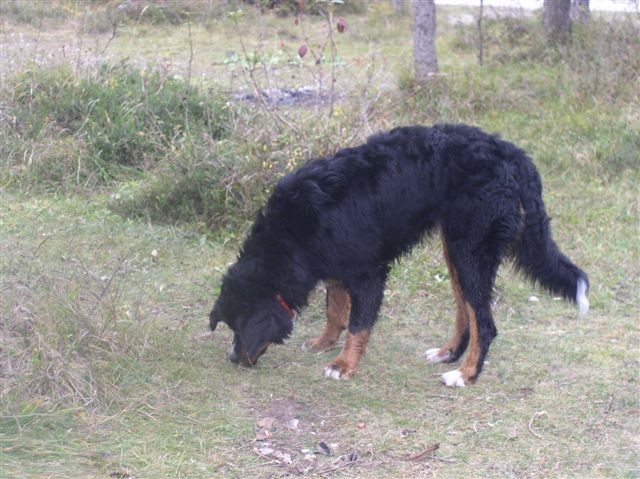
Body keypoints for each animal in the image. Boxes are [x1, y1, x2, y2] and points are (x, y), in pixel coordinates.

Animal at [208, 124, 588, 386]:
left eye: (239, 328)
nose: (233, 358)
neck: (291, 232)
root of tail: (509, 151)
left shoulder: (369, 271)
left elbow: (358, 324)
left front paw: (343, 365)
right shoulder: (335, 263)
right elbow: (335, 309)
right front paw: (324, 342)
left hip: (471, 250)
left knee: (484, 322)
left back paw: (465, 374)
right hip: (457, 249)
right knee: (465, 309)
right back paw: (448, 353)